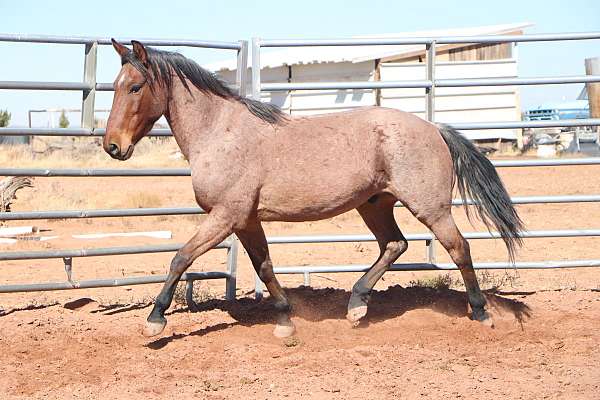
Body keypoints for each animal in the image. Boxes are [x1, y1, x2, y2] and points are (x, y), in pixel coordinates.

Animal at [105, 40, 524, 338]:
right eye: (115, 87)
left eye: (136, 87)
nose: (113, 146)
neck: (221, 133)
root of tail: (435, 128)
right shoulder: (246, 221)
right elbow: (265, 266)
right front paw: (285, 322)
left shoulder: (226, 216)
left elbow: (181, 258)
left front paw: (155, 320)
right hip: (374, 204)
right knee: (394, 244)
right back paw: (356, 305)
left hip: (430, 207)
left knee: (459, 248)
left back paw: (480, 313)